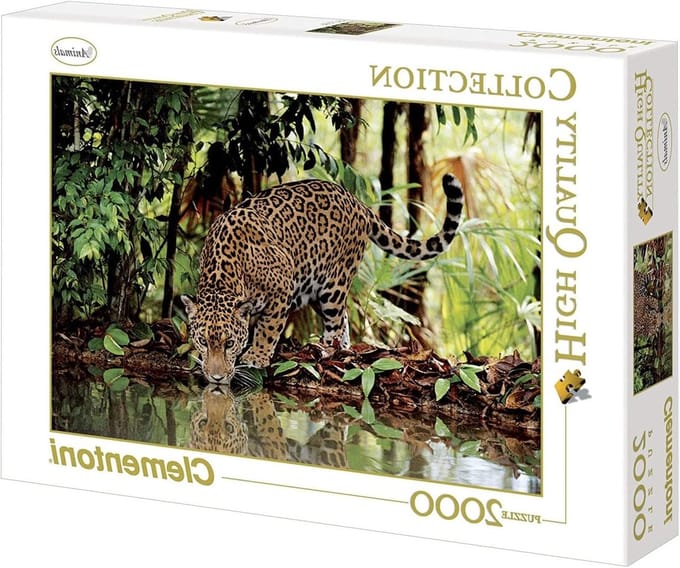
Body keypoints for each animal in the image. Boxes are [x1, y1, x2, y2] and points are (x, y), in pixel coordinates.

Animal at [181, 173, 464, 384]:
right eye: (203, 342)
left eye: (229, 343)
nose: (217, 378)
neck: (224, 277)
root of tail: (357, 202)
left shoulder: (282, 288)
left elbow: (268, 329)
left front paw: (256, 357)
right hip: (316, 288)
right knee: (344, 318)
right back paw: (344, 350)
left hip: (333, 284)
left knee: (335, 321)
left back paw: (329, 351)